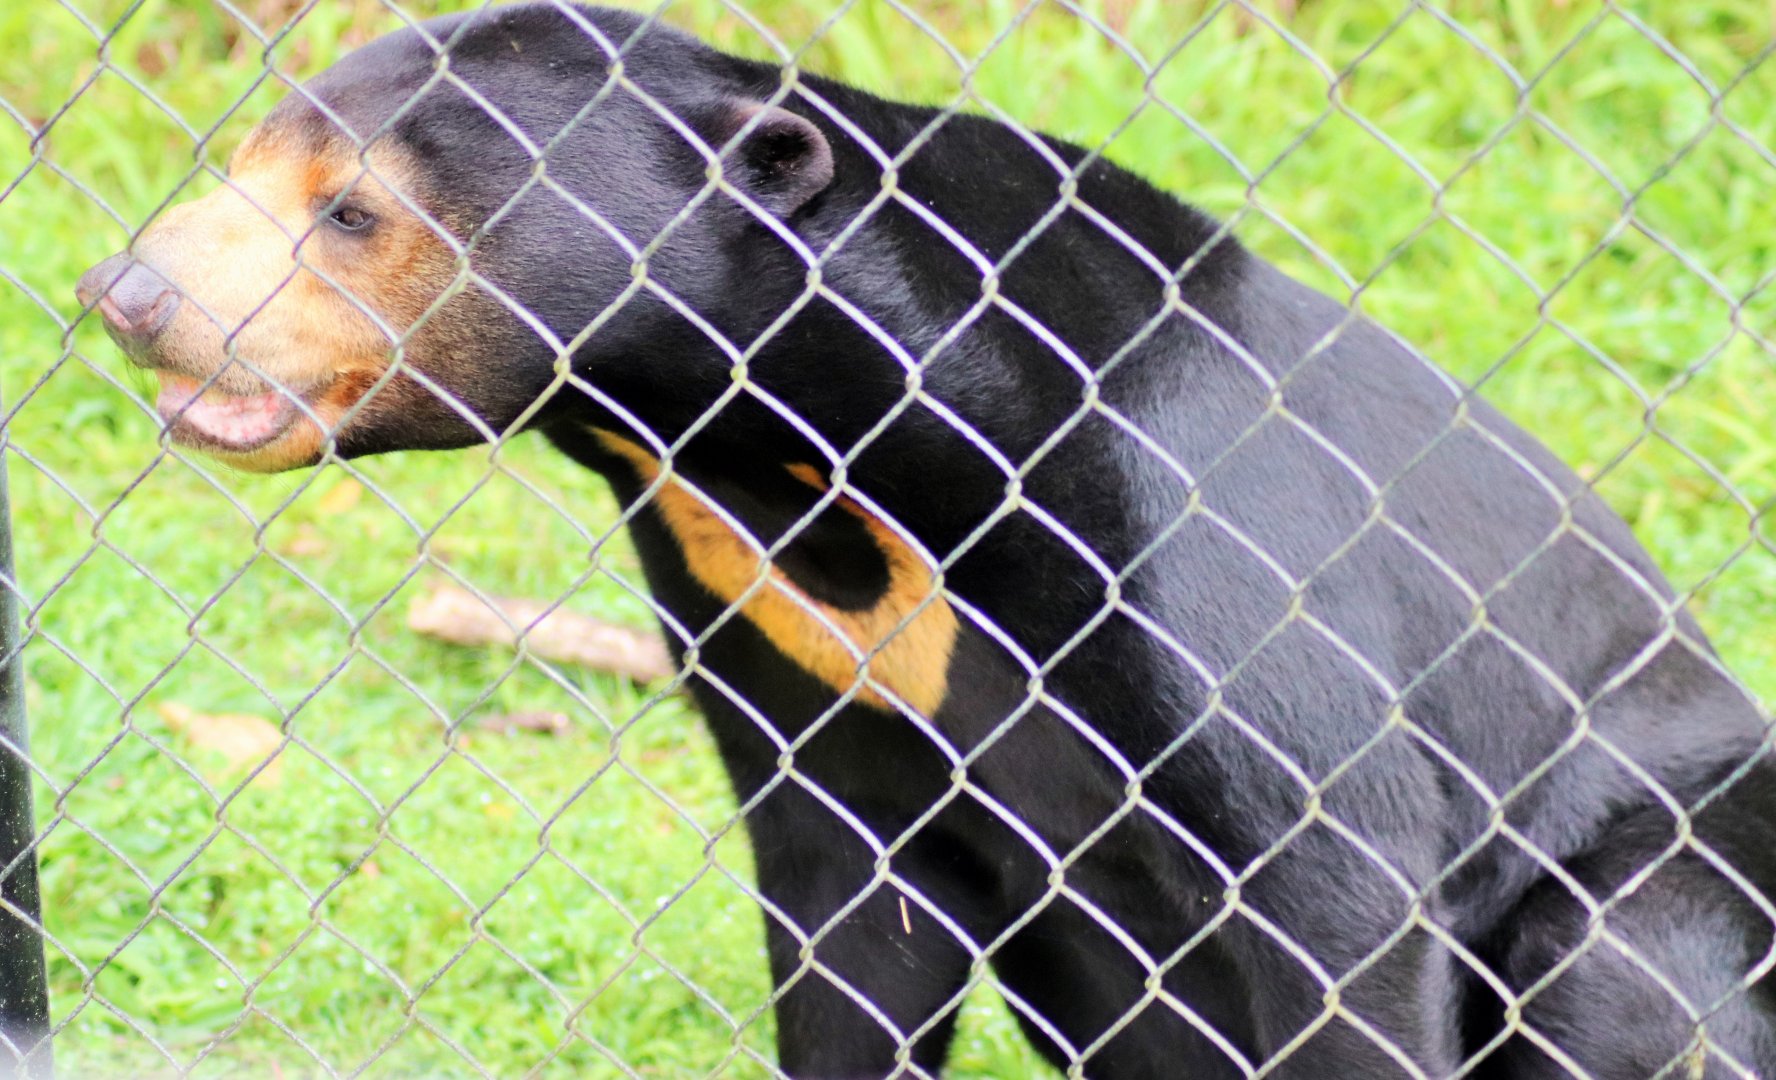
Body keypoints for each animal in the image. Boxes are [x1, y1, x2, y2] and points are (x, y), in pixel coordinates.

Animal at [73, 4, 1776, 1077]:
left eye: (350, 212)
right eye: (244, 157)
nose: (126, 293)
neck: (796, 449)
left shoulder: (1208, 558)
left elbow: (1332, 884)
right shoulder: (767, 617)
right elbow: (849, 924)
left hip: (1691, 860)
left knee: (1623, 959)